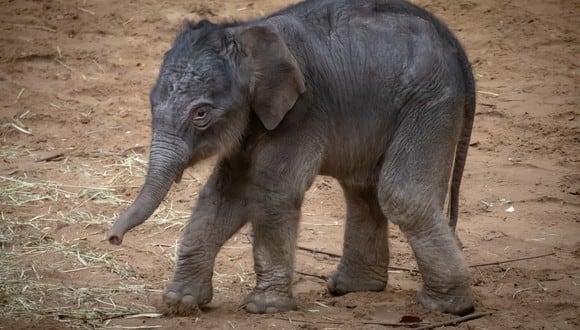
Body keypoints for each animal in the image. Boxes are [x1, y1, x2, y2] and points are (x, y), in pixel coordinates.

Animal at [107, 0, 476, 316]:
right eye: (151, 102)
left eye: (201, 114)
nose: (113, 239)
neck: (246, 32)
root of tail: (455, 45)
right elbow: (224, 195)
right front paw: (179, 303)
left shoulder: (302, 112)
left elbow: (273, 192)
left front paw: (263, 308)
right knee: (361, 188)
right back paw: (353, 288)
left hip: (430, 102)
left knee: (401, 195)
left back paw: (446, 307)